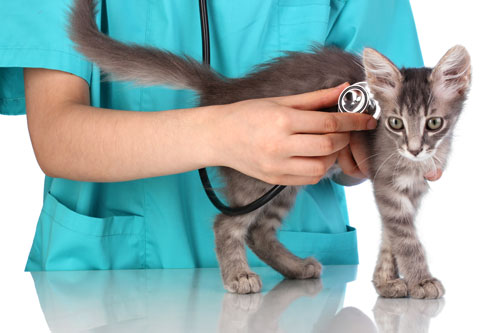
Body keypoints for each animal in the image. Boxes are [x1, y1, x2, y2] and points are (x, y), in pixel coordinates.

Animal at [68, 0, 470, 296]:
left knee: (260, 232)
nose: (415, 149)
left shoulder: (406, 193)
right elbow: (407, 240)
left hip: (289, 178)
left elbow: (390, 238)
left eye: (434, 123)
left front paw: (386, 283)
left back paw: (295, 268)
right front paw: (421, 280)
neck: (415, 163)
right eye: (395, 123)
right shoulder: (389, 186)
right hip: (259, 178)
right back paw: (237, 276)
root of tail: (224, 89)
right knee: (225, 224)